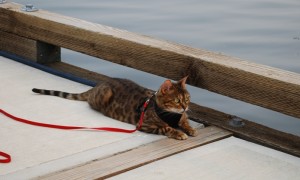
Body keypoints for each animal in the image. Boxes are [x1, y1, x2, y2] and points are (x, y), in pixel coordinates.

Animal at [32, 76, 197, 139]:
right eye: (177, 100)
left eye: (187, 99)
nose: (185, 107)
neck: (172, 114)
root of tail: (97, 85)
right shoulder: (145, 125)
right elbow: (166, 127)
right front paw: (179, 133)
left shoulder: (182, 117)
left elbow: (185, 122)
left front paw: (190, 129)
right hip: (105, 94)